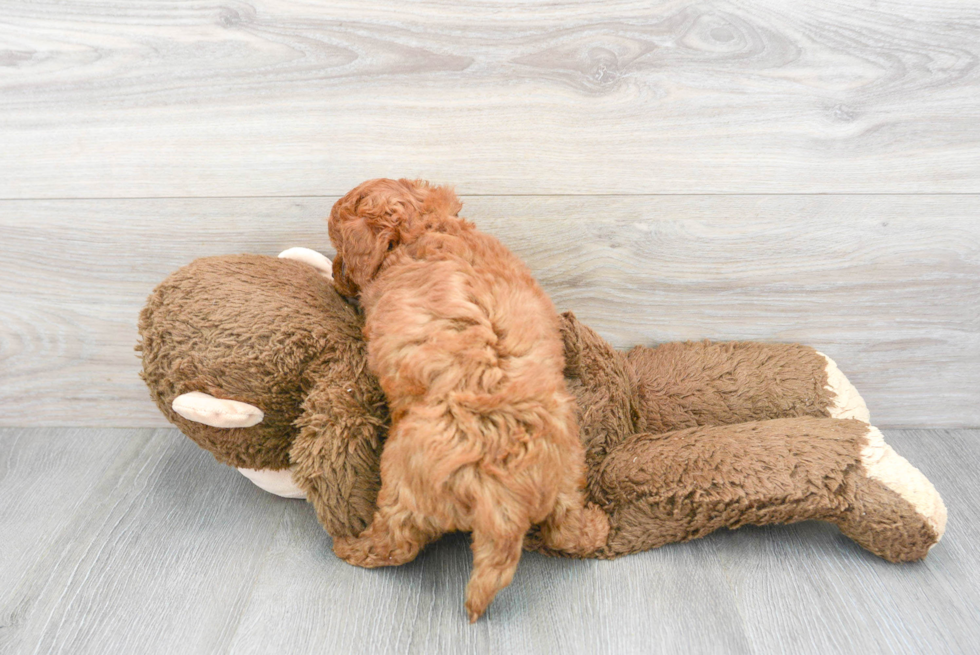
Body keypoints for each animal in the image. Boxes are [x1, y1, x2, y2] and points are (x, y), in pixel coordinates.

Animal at [328, 178, 604, 620]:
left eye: (337, 244)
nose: (334, 273)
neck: (422, 228)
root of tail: (502, 501)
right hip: (568, 471)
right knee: (567, 529)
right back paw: (596, 528)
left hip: (402, 480)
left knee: (396, 542)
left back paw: (352, 547)